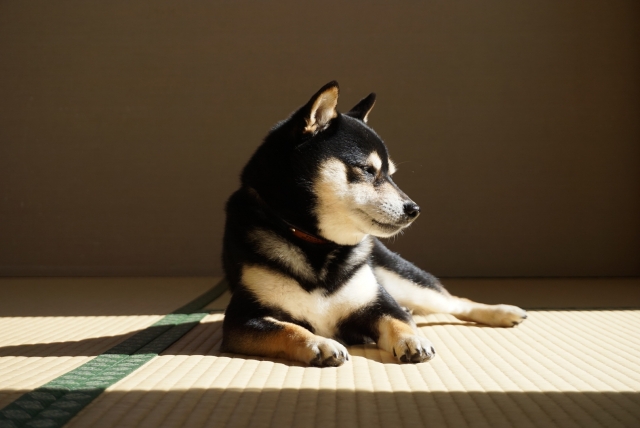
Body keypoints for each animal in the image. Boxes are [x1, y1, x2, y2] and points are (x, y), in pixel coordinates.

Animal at [222, 82, 528, 366]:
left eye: (391, 174)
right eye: (368, 170)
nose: (414, 209)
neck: (318, 246)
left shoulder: (378, 305)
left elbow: (398, 321)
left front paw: (412, 340)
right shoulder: (242, 322)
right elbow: (289, 329)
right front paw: (319, 344)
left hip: (403, 280)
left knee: (455, 302)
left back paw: (503, 312)